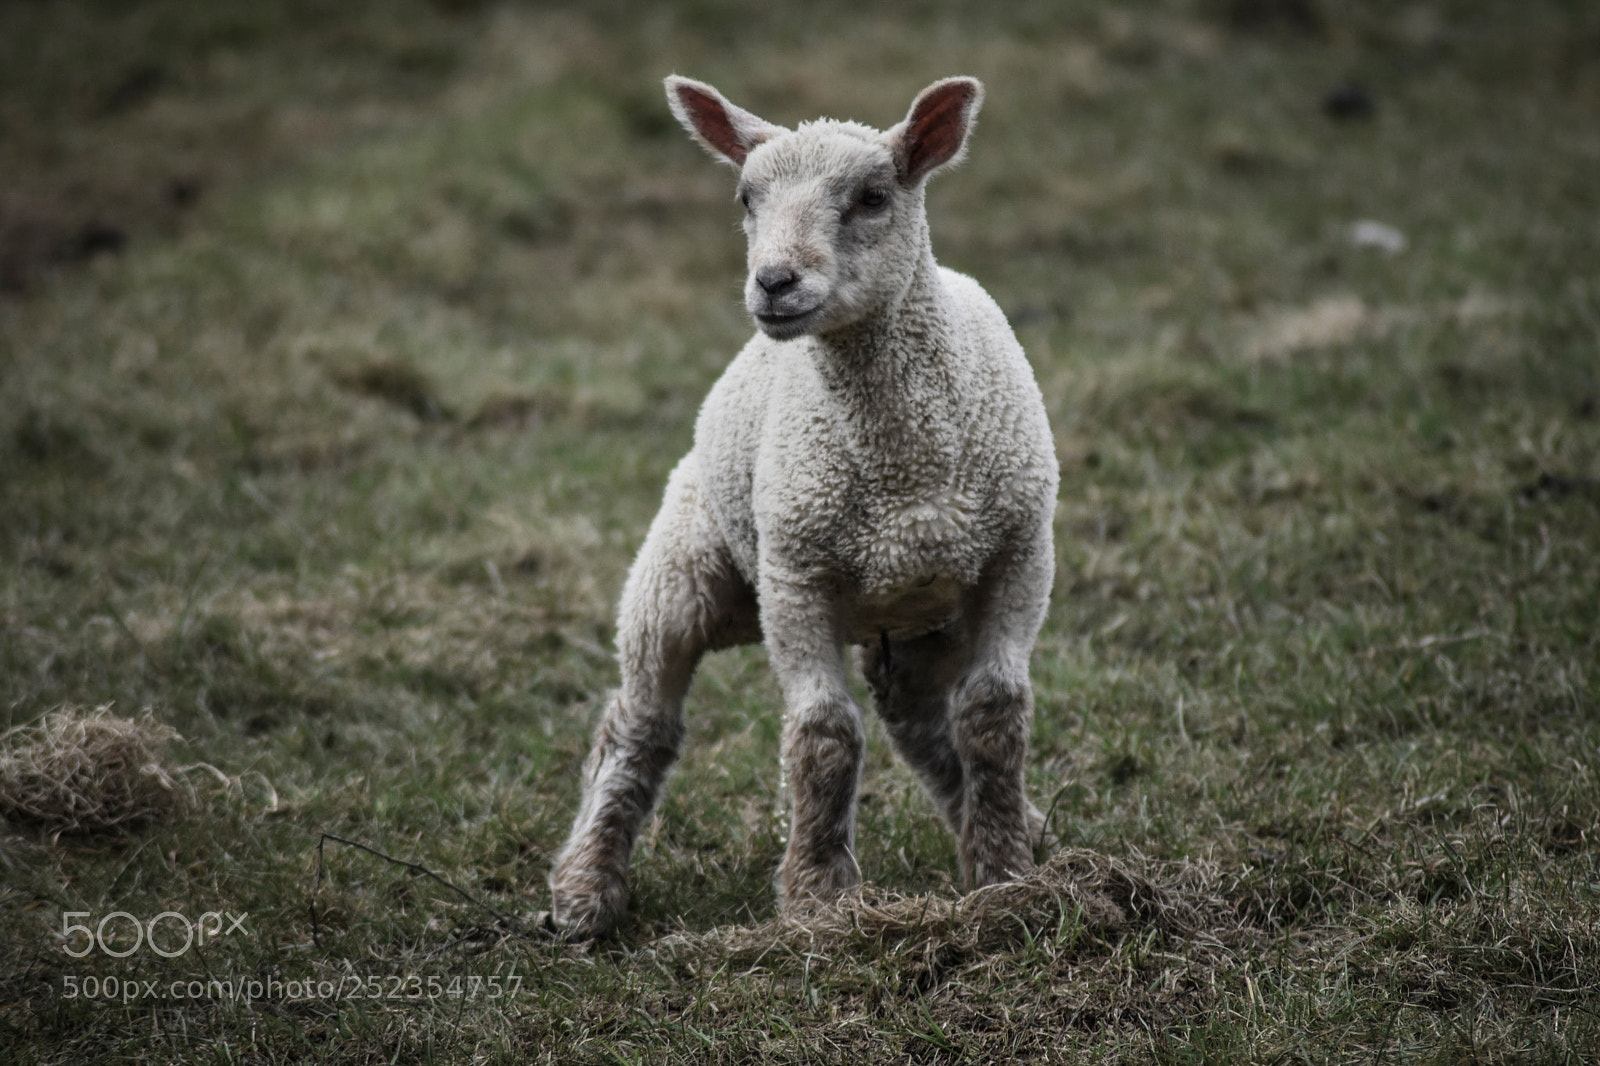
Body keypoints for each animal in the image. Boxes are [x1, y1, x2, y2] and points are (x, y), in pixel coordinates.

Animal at [547, 75, 1058, 939]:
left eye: (874, 196)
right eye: (746, 197)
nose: (775, 282)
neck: (906, 468)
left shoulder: (1018, 556)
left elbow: (992, 716)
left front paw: (1005, 874)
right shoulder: (795, 574)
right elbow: (823, 734)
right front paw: (820, 901)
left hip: (920, 614)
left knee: (921, 720)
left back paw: (1019, 825)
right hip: (681, 571)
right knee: (639, 721)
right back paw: (585, 889)